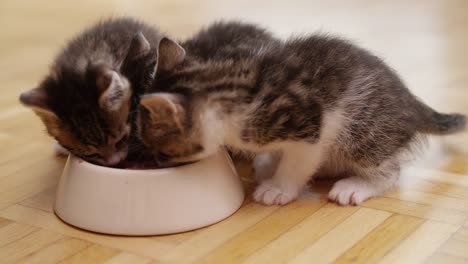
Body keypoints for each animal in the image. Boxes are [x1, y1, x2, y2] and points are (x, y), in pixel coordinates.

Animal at [137, 29, 466, 206]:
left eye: (161, 152)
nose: (154, 163)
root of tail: (410, 100)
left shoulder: (309, 126)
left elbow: (298, 163)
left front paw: (278, 188)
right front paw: (269, 163)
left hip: (363, 131)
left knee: (391, 172)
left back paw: (357, 186)